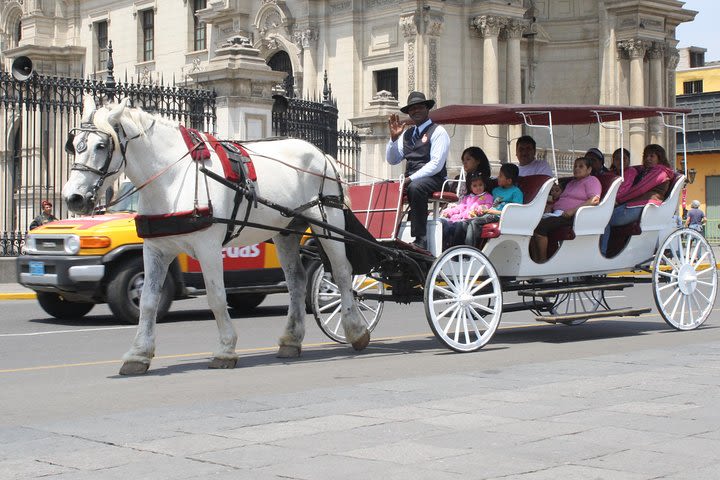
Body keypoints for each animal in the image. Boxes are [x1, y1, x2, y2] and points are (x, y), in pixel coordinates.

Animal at [62, 96, 372, 376]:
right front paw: (138, 354)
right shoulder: (155, 249)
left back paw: (356, 330)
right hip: (286, 232)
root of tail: (322, 153)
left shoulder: (208, 246)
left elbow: (216, 296)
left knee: (342, 273)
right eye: (74, 145)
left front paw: (225, 349)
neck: (173, 177)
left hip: (328, 221)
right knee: (296, 281)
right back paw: (291, 340)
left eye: (102, 145)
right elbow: (148, 301)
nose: (73, 198)